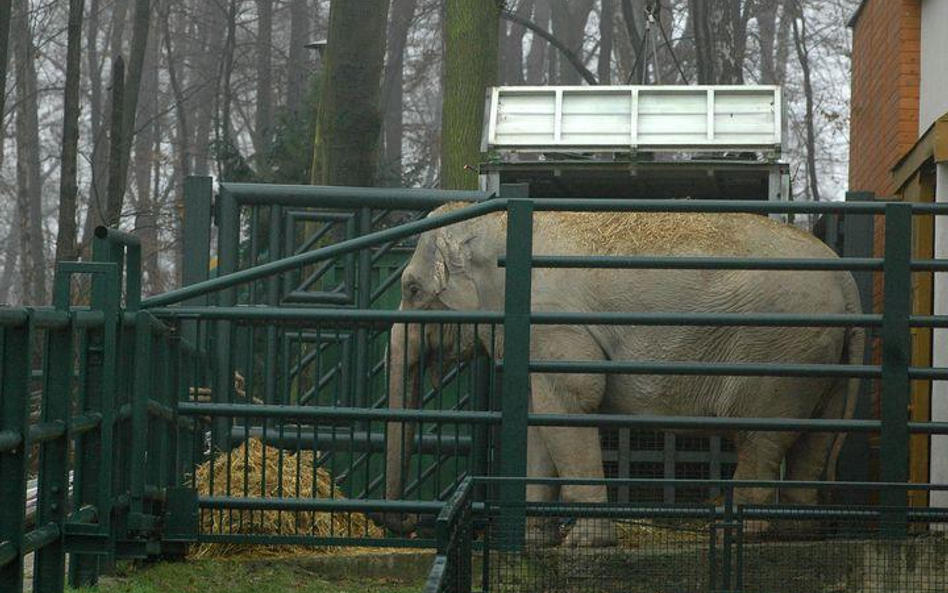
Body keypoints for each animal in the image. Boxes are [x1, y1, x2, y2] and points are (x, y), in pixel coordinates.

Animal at [382, 204, 864, 544]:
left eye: (412, 289)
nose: (410, 523)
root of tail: (849, 283)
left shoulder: (555, 325)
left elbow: (573, 402)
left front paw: (584, 544)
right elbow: (540, 420)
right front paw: (534, 542)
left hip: (782, 353)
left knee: (762, 438)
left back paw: (739, 533)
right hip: (827, 359)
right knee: (816, 436)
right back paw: (797, 534)